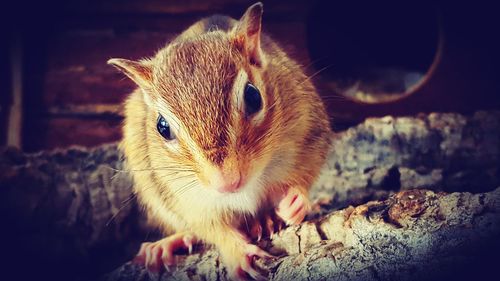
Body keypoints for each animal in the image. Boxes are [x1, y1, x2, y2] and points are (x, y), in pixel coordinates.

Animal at [107, 1, 330, 278]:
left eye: (253, 97)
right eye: (162, 127)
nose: (227, 183)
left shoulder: (309, 137)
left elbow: (304, 177)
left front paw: (296, 202)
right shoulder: (188, 200)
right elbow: (212, 229)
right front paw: (239, 254)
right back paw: (165, 245)